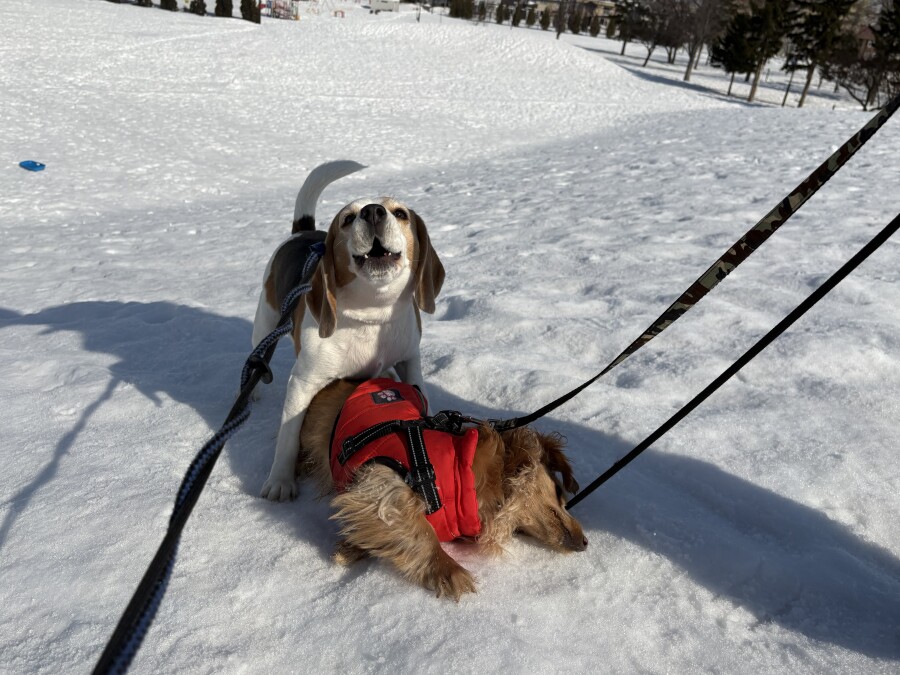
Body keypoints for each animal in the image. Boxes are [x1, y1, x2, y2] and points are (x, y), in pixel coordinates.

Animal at [252, 161, 445, 501]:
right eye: (347, 218)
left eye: (400, 213)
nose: (373, 212)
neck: (372, 316)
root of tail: (302, 232)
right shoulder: (303, 383)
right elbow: (289, 435)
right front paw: (280, 482)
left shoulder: (409, 360)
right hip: (264, 323)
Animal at [299, 377, 588, 601]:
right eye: (559, 494)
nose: (586, 543)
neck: (466, 475)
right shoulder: (383, 481)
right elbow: (421, 531)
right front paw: (449, 570)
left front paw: (353, 545)